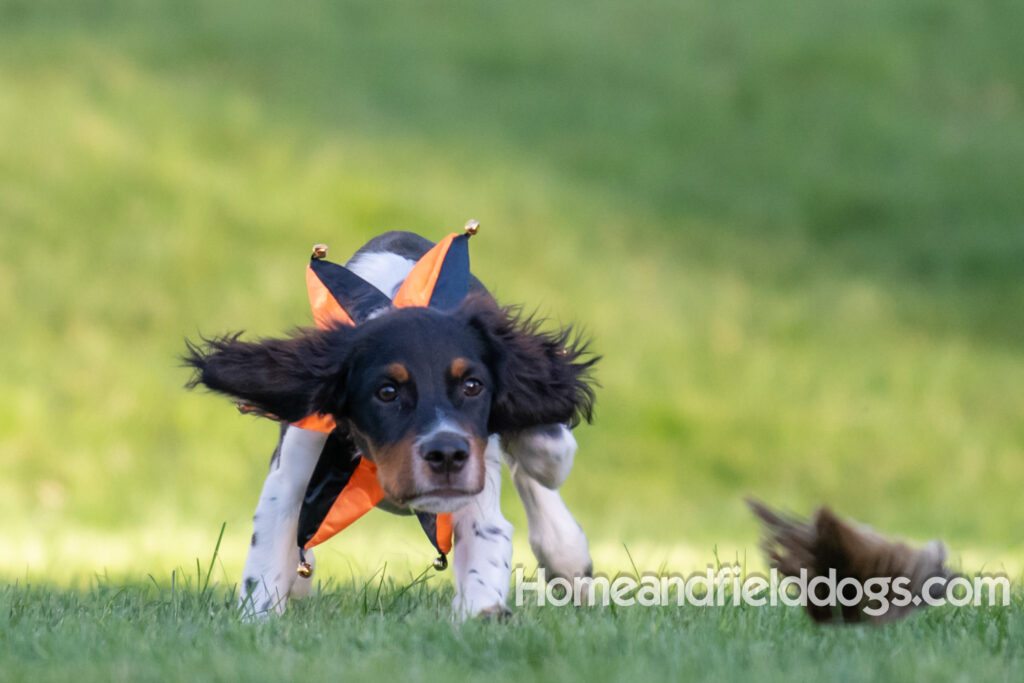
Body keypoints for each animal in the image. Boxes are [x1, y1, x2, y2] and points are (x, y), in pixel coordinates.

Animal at [188, 231, 598, 618]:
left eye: (472, 386)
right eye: (387, 392)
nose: (446, 454)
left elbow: (487, 542)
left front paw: (481, 613)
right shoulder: (292, 472)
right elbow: (267, 561)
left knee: (544, 459)